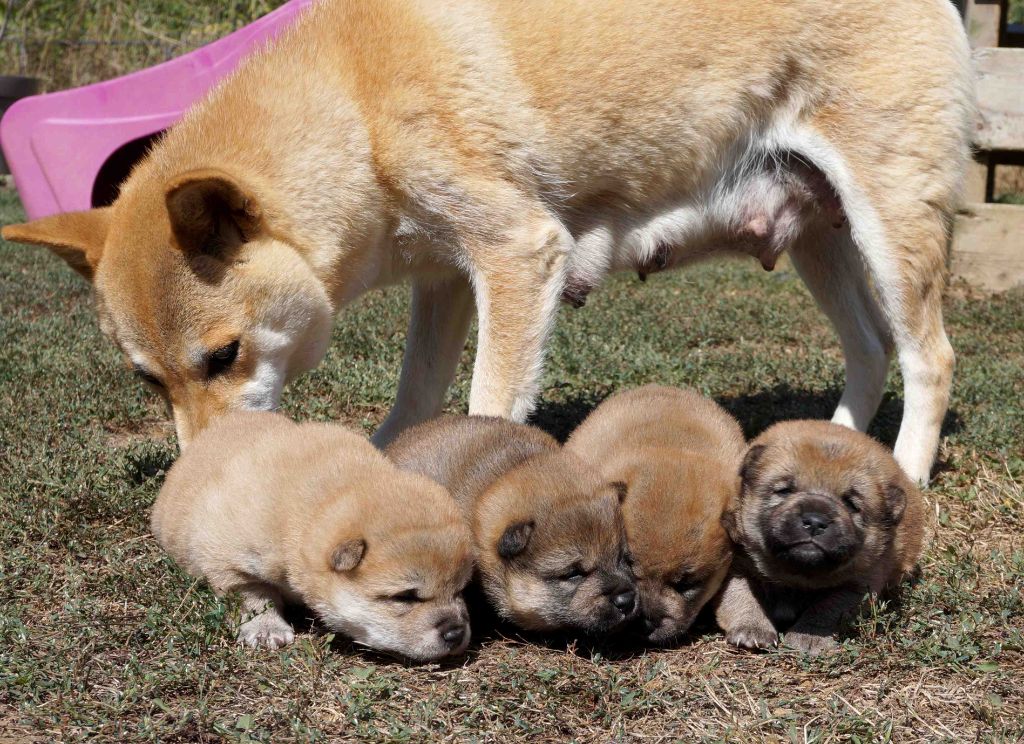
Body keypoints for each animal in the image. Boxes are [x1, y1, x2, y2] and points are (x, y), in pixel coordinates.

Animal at [151, 409, 471, 659]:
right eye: (405, 597)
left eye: (460, 590)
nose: (456, 633)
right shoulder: (226, 557)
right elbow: (254, 594)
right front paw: (266, 628)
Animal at [712, 421, 929, 654]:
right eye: (785, 491)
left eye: (851, 505)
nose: (815, 521)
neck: (796, 576)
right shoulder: (737, 565)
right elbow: (741, 595)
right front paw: (752, 629)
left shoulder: (858, 585)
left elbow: (826, 609)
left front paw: (808, 638)